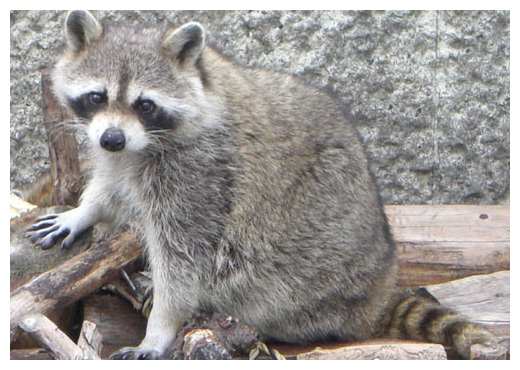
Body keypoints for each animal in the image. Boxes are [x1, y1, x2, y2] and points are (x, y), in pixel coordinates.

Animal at [28, 10, 500, 360]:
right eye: (97, 97)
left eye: (145, 105)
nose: (112, 137)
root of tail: (376, 291)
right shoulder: (119, 153)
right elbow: (110, 184)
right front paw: (84, 210)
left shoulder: (202, 174)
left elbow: (184, 260)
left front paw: (161, 327)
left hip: (299, 275)